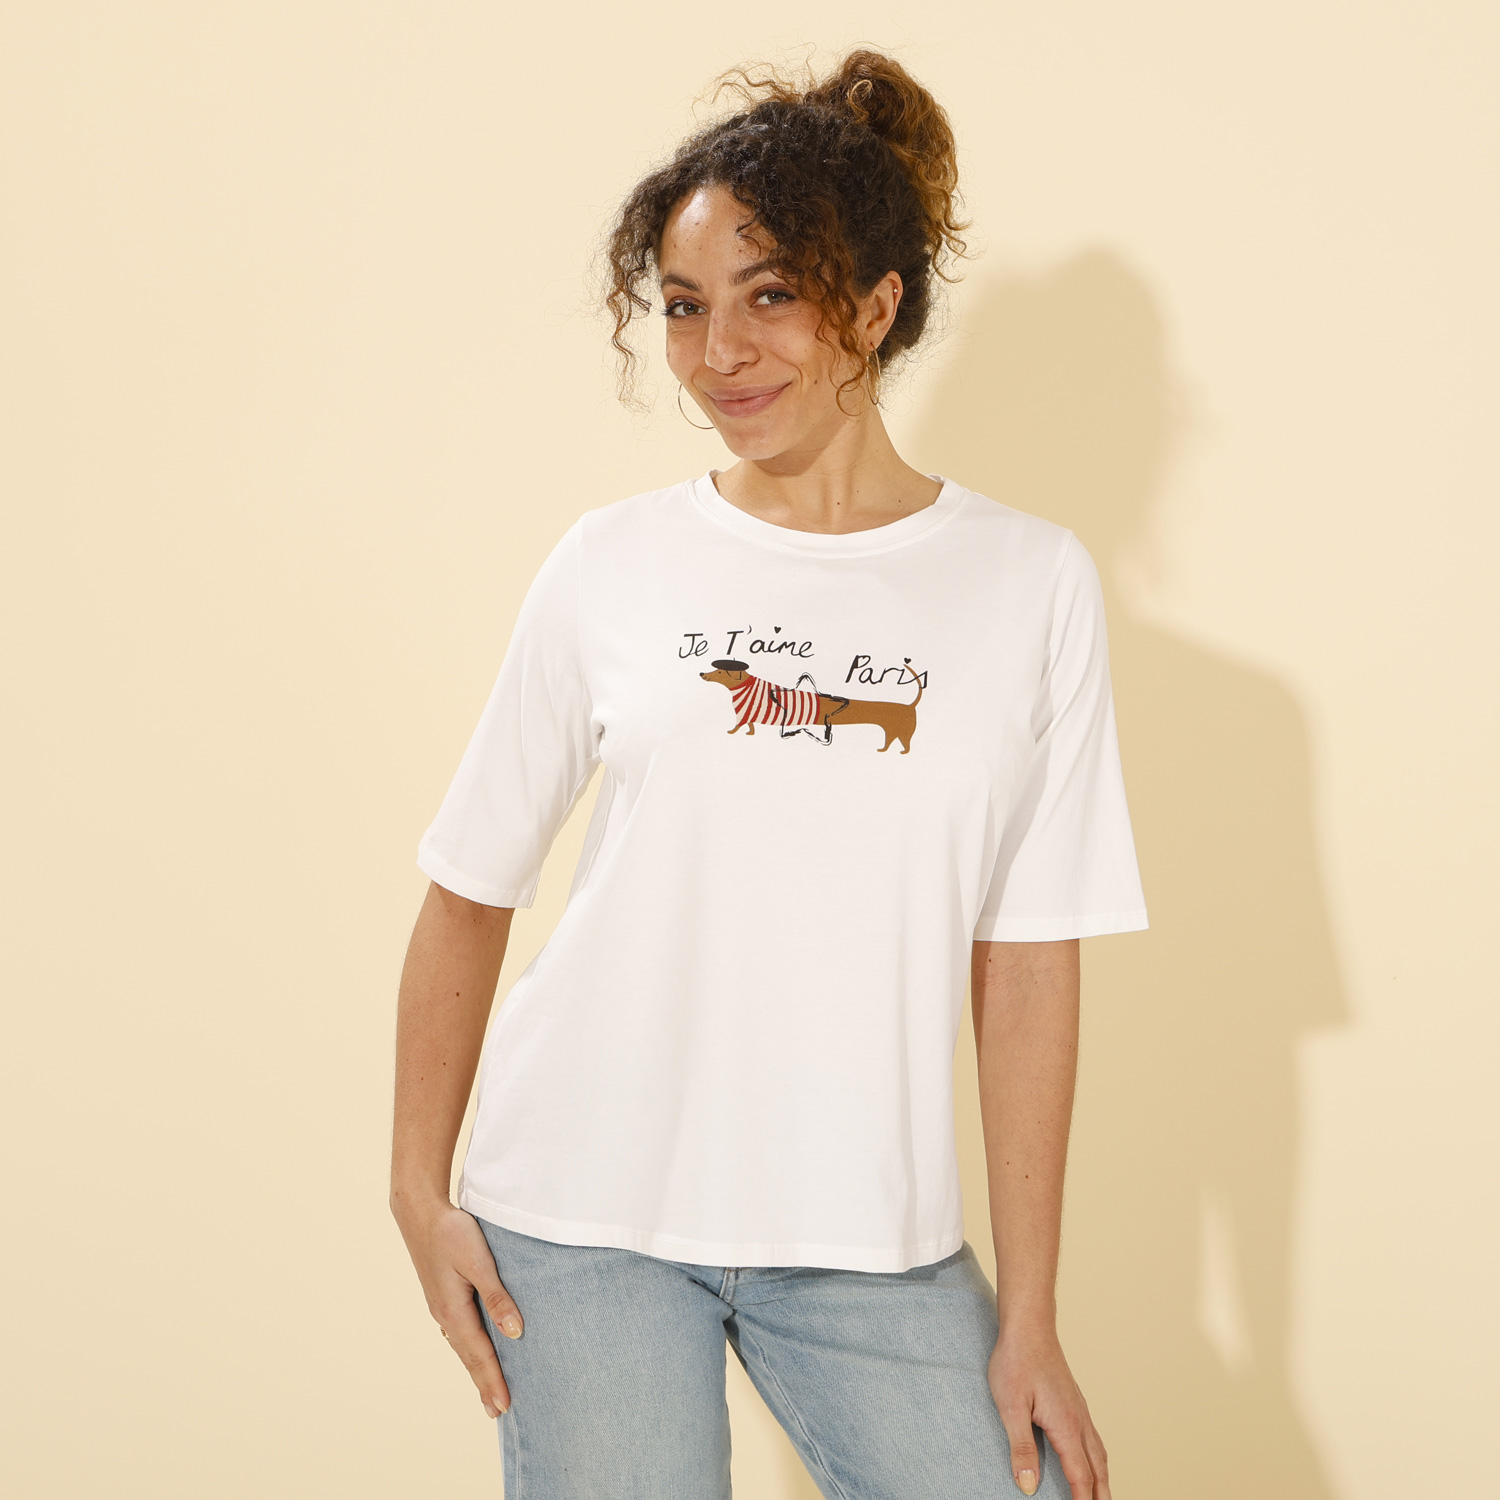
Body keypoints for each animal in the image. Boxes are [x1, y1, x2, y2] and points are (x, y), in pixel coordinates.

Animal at [699, 658, 923, 753]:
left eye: (719, 671)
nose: (701, 673)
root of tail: (910, 706)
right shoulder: (748, 715)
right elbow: (750, 726)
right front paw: (749, 733)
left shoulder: (742, 714)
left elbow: (738, 725)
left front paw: (732, 732)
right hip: (892, 731)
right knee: (892, 741)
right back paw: (884, 750)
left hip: (902, 731)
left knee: (906, 743)